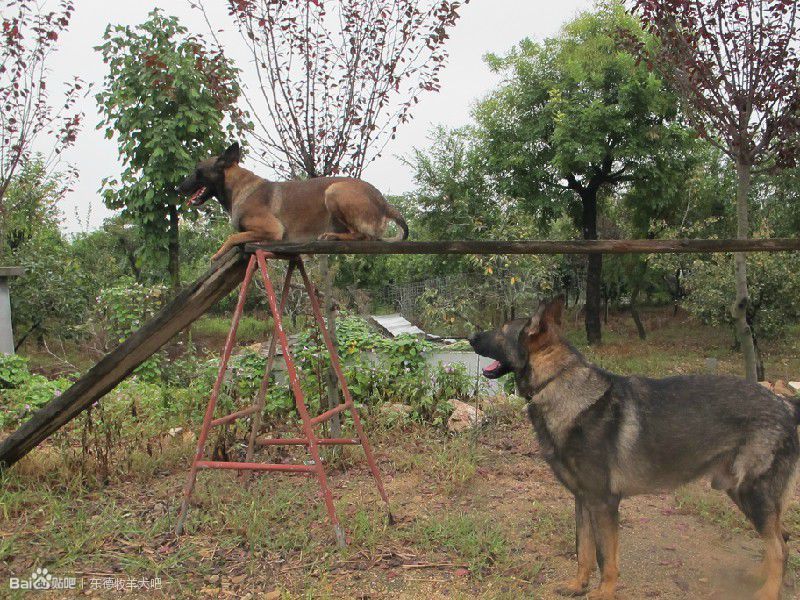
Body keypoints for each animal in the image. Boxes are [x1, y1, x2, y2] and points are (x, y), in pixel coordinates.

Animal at [177, 144, 410, 262]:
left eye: (197, 170)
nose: (179, 188)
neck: (238, 186)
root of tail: (383, 201)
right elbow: (236, 235)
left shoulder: (272, 230)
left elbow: (232, 236)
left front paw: (217, 254)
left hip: (334, 190)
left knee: (361, 235)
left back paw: (331, 236)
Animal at [468, 300, 800, 600]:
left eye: (501, 330)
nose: (469, 337)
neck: (558, 382)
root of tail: (784, 404)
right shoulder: (583, 500)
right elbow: (583, 551)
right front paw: (578, 586)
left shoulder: (604, 503)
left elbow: (606, 557)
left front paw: (604, 592)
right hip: (742, 494)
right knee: (779, 539)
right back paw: (760, 577)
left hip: (752, 494)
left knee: (780, 548)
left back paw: (768, 592)